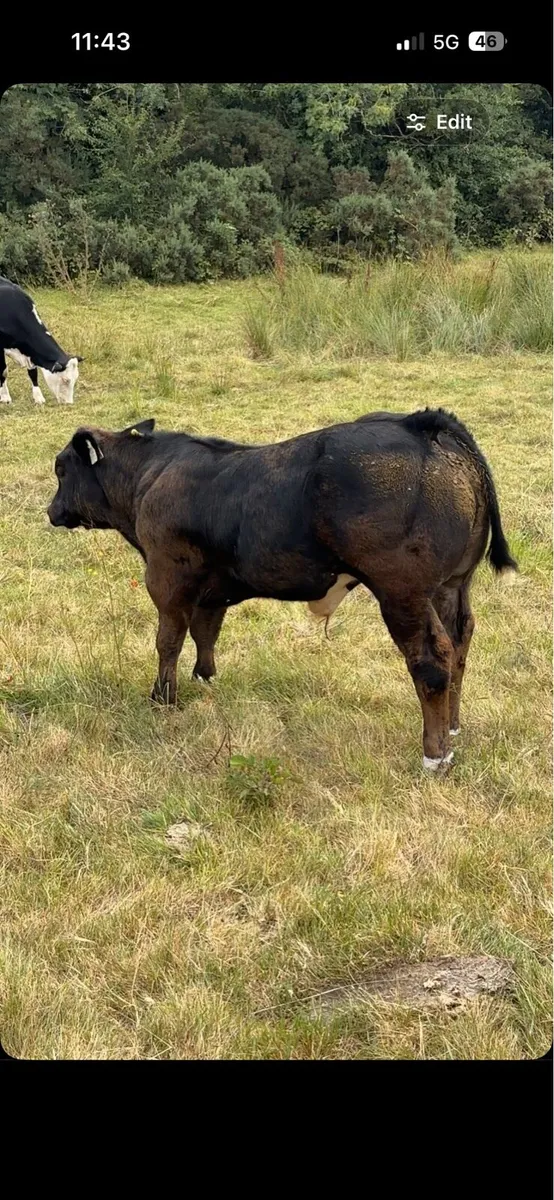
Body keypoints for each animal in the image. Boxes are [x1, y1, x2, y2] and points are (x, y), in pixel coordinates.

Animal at [0, 276, 82, 406]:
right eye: (66, 380)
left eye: (76, 378)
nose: (69, 403)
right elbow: (3, 370)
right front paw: (4, 396)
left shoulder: (30, 353)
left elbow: (33, 373)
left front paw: (38, 398)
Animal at [47, 408, 517, 773]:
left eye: (61, 468)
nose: (51, 511)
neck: (152, 474)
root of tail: (418, 423)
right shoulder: (212, 589)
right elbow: (205, 632)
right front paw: (205, 678)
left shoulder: (167, 578)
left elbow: (169, 641)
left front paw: (162, 697)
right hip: (451, 587)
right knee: (459, 645)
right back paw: (453, 727)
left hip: (403, 593)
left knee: (432, 660)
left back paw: (435, 755)